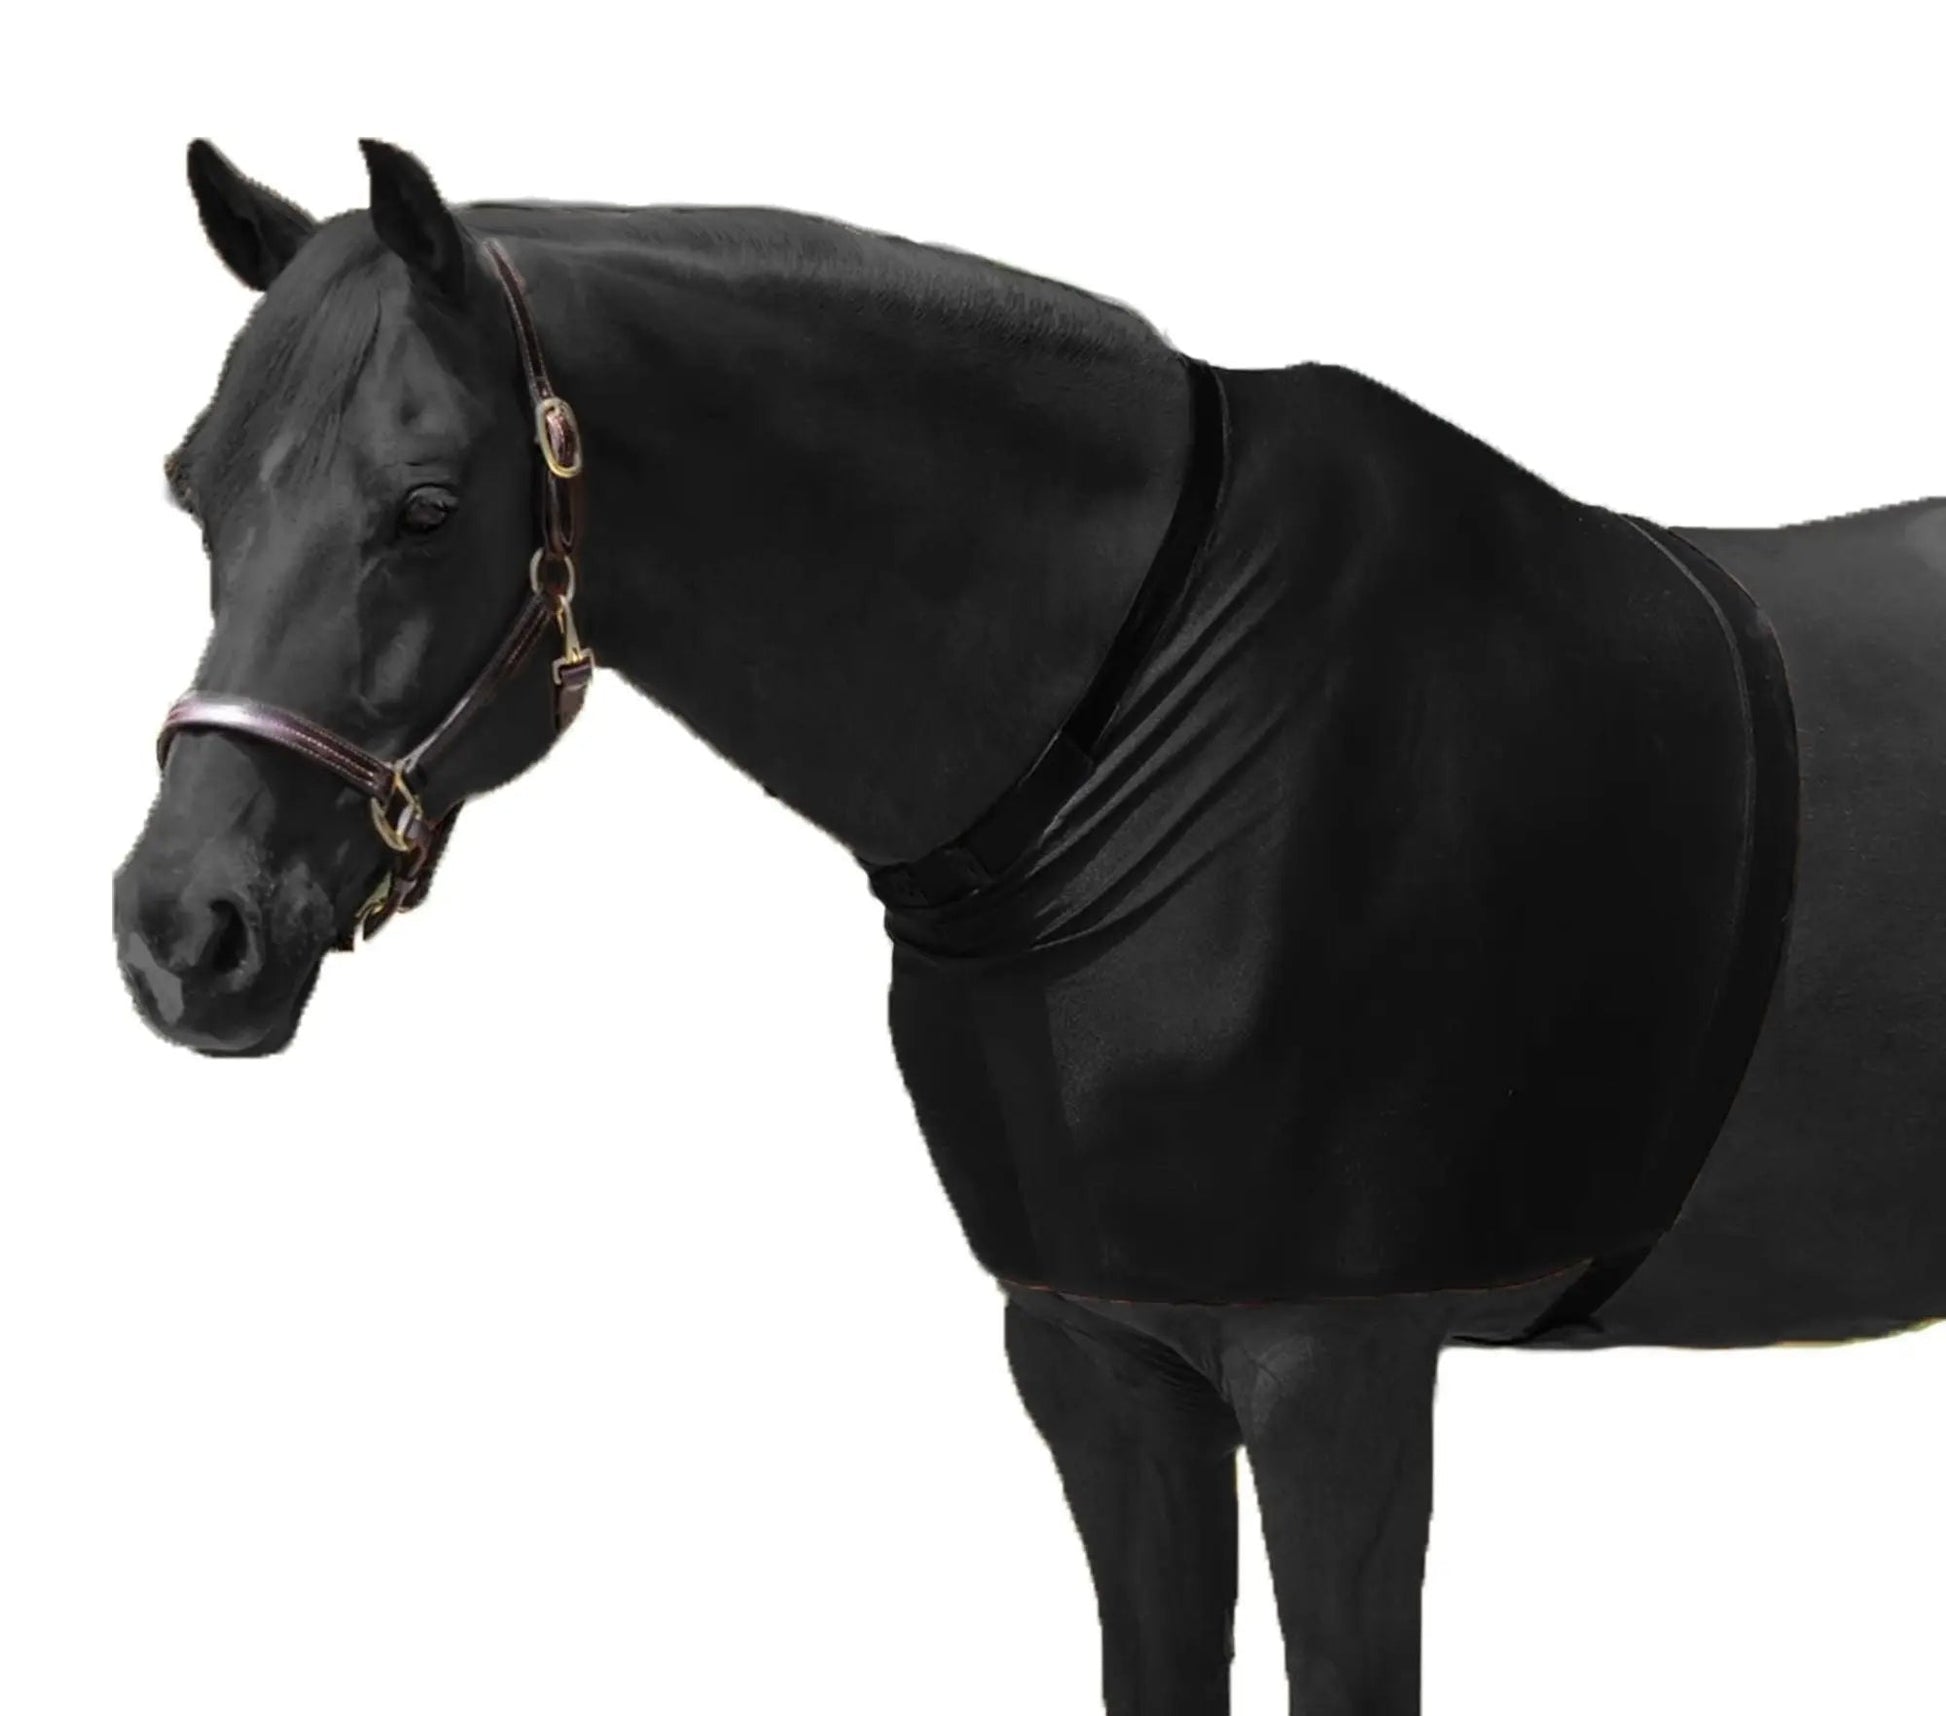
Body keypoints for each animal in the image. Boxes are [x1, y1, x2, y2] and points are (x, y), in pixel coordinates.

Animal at [113, 140, 1944, 1715]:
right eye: (192, 491)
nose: (182, 929)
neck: (1146, 733)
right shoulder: (1097, 1354)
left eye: (426, 505)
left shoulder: (1337, 1367)